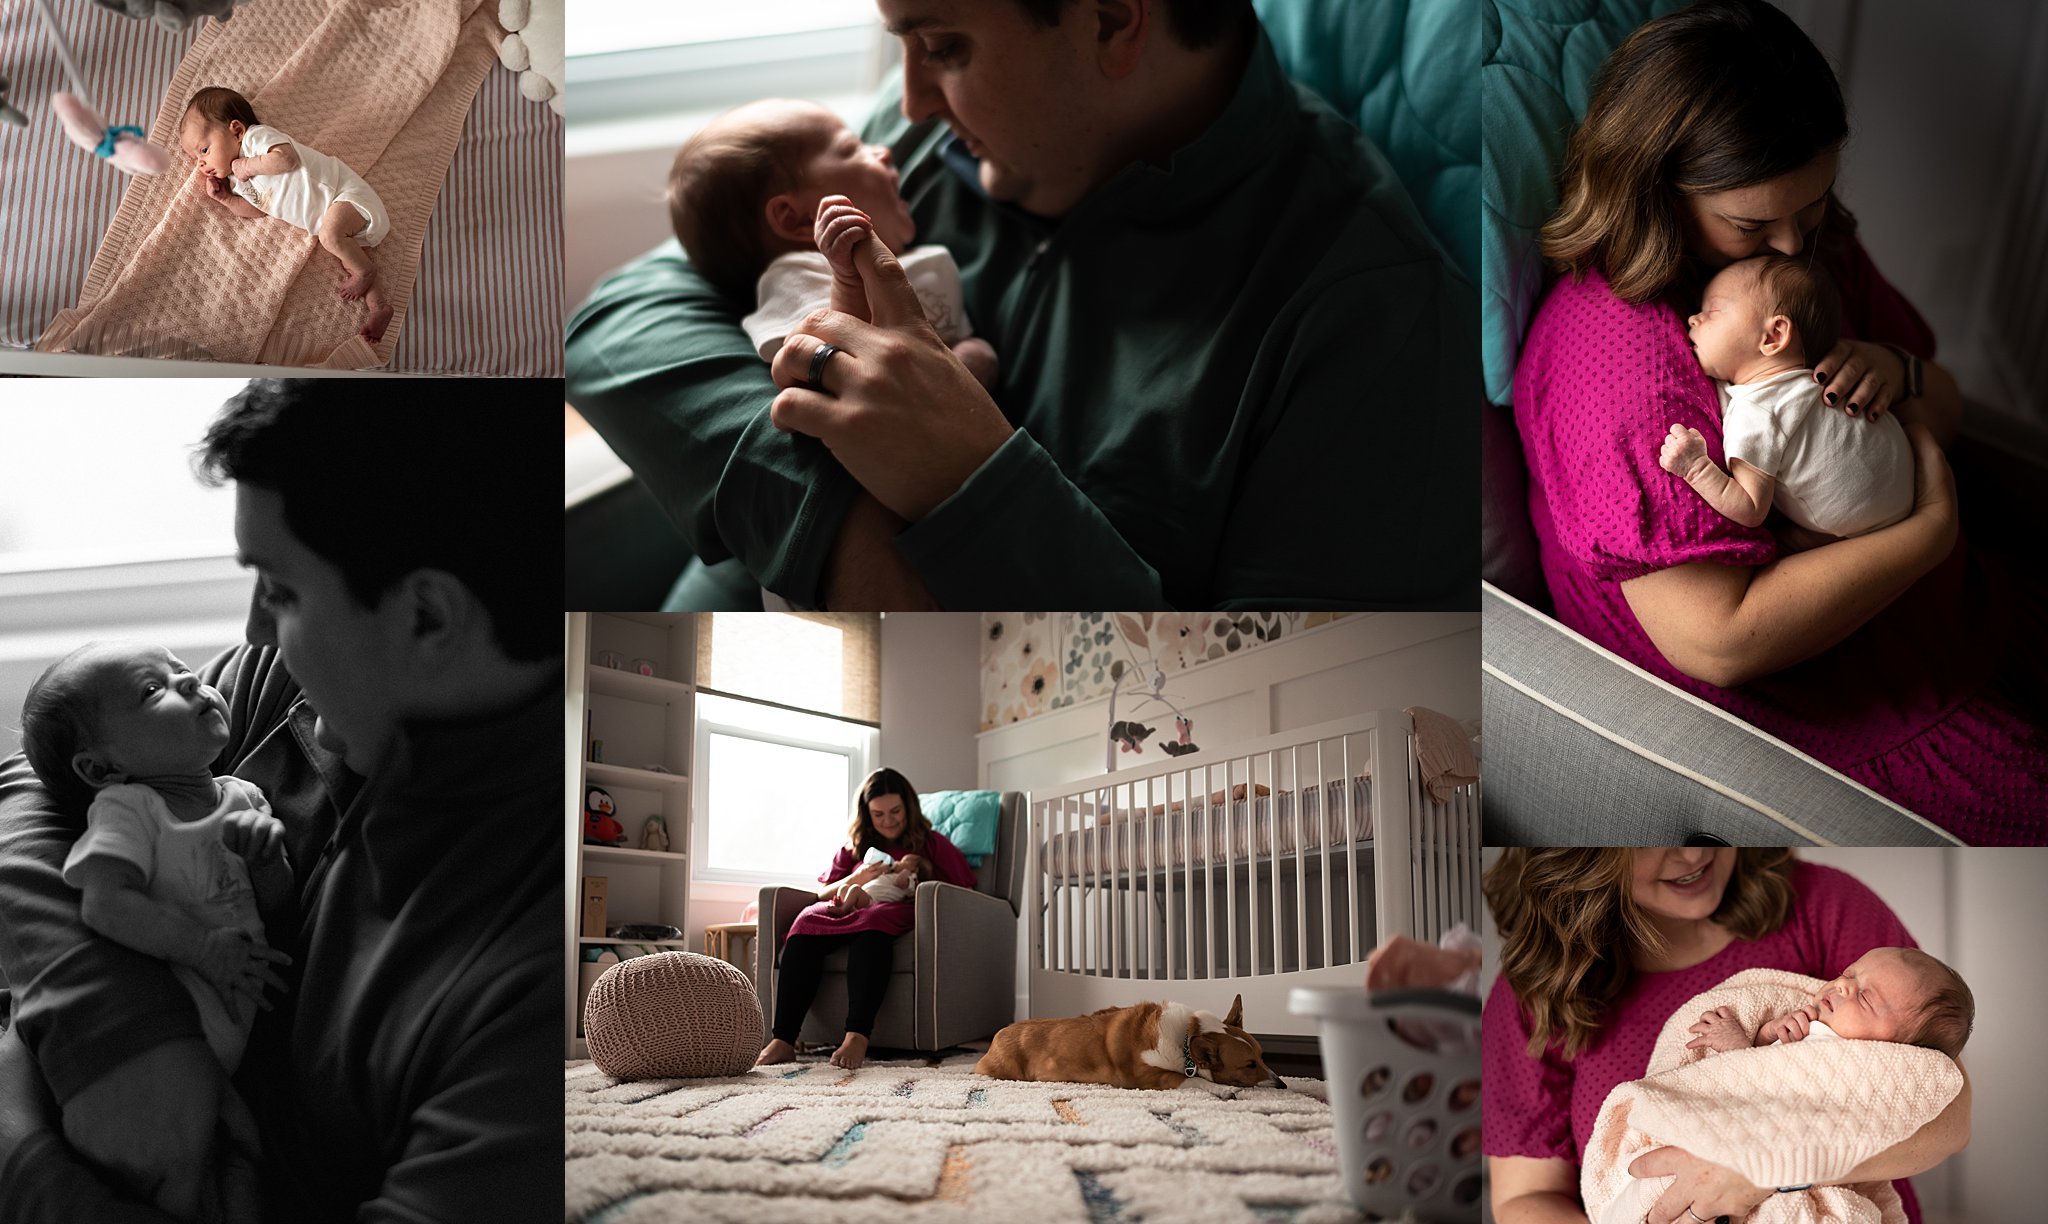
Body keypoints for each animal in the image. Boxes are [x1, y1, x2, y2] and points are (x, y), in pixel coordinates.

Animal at [970, 998, 1277, 1097]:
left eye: (1262, 1057)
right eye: (1249, 1065)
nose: (1282, 1084)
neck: (1186, 1037)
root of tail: (997, 1036)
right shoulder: (1151, 1076)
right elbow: (1192, 1080)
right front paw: (1223, 1090)